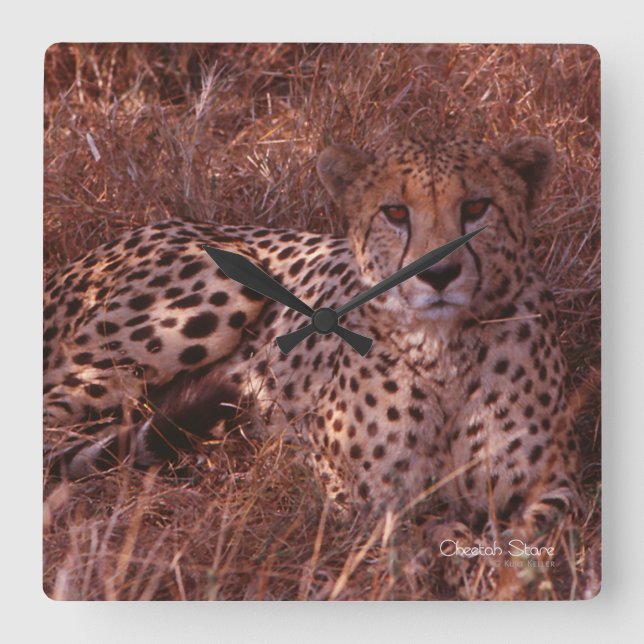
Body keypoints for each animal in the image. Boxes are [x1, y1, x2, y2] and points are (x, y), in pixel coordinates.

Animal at [43, 134, 581, 537]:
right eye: (395, 212)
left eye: (477, 206)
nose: (439, 274)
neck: (443, 350)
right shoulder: (350, 489)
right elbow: (415, 530)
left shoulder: (557, 485)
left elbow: (533, 532)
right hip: (220, 284)